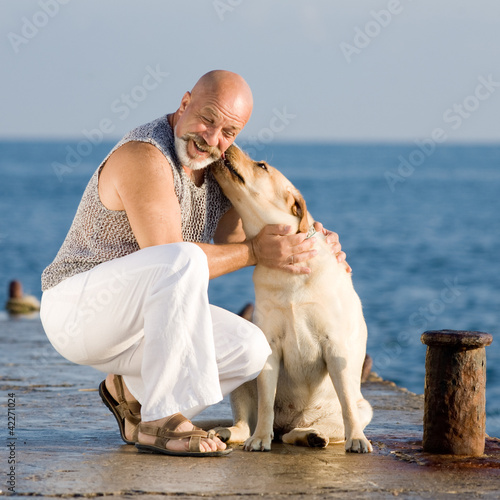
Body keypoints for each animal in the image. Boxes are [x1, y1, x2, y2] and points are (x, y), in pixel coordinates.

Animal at [210, 145, 372, 454]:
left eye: (262, 166)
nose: (230, 146)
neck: (287, 268)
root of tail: (293, 419)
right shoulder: (270, 345)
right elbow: (265, 404)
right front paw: (260, 439)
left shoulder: (335, 346)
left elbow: (347, 404)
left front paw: (357, 438)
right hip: (244, 382)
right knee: (248, 425)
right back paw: (228, 433)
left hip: (361, 408)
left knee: (308, 429)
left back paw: (312, 435)